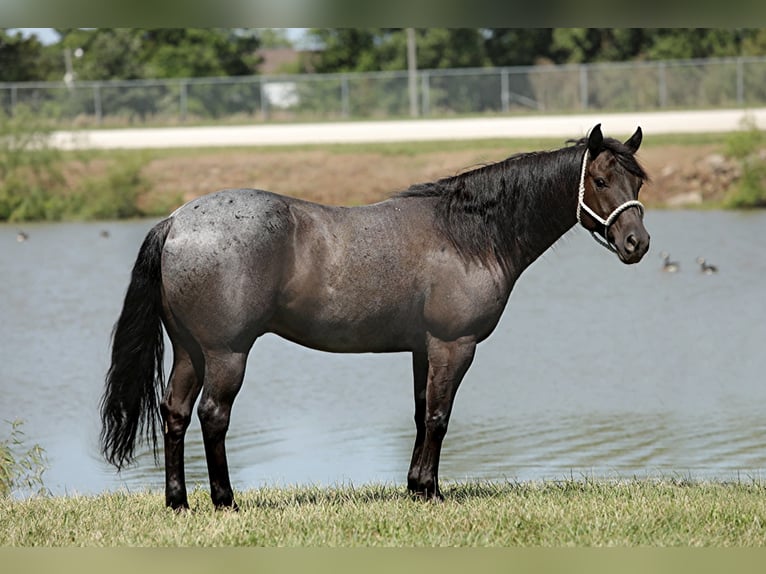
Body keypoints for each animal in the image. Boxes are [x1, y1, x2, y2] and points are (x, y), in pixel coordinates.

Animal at [100, 124, 656, 510]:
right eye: (600, 179)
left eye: (637, 182)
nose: (638, 244)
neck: (468, 236)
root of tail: (176, 222)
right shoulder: (454, 346)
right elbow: (439, 416)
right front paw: (431, 492)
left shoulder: (421, 348)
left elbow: (419, 412)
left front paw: (415, 487)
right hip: (226, 353)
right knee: (213, 415)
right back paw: (224, 501)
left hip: (189, 350)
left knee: (175, 413)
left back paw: (178, 502)